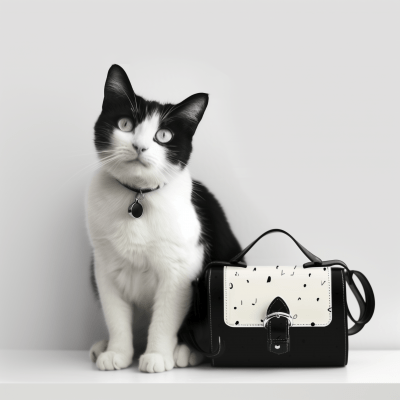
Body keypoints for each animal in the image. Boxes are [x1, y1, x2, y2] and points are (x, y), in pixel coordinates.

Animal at [87, 64, 242, 374]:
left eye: (164, 136)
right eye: (125, 125)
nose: (139, 146)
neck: (137, 197)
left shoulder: (180, 269)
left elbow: (165, 317)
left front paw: (157, 355)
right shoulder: (103, 265)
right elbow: (115, 314)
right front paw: (118, 352)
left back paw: (187, 352)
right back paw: (103, 347)